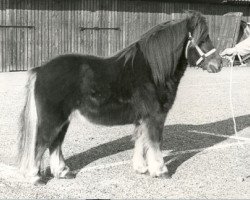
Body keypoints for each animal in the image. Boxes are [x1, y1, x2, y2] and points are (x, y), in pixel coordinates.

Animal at [17, 11, 221, 186]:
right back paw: (34, 177)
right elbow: (155, 143)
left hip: (63, 120)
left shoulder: (142, 118)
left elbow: (141, 141)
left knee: (55, 144)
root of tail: (40, 70)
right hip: (52, 120)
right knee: (40, 143)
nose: (218, 64)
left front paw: (141, 168)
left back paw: (62, 172)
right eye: (202, 39)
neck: (154, 72)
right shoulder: (155, 117)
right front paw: (160, 171)